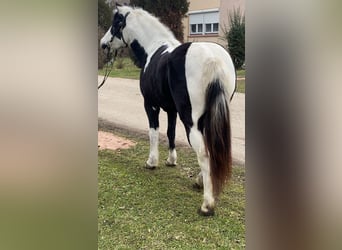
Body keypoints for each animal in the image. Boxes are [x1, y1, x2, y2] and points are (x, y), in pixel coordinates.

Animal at [100, 6, 236, 217]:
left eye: (116, 23)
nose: (103, 44)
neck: (153, 47)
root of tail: (212, 59)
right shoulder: (171, 109)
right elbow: (170, 132)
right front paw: (171, 160)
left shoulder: (150, 105)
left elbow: (154, 132)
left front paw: (151, 162)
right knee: (210, 148)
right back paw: (200, 182)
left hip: (191, 121)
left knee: (203, 153)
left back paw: (207, 205)